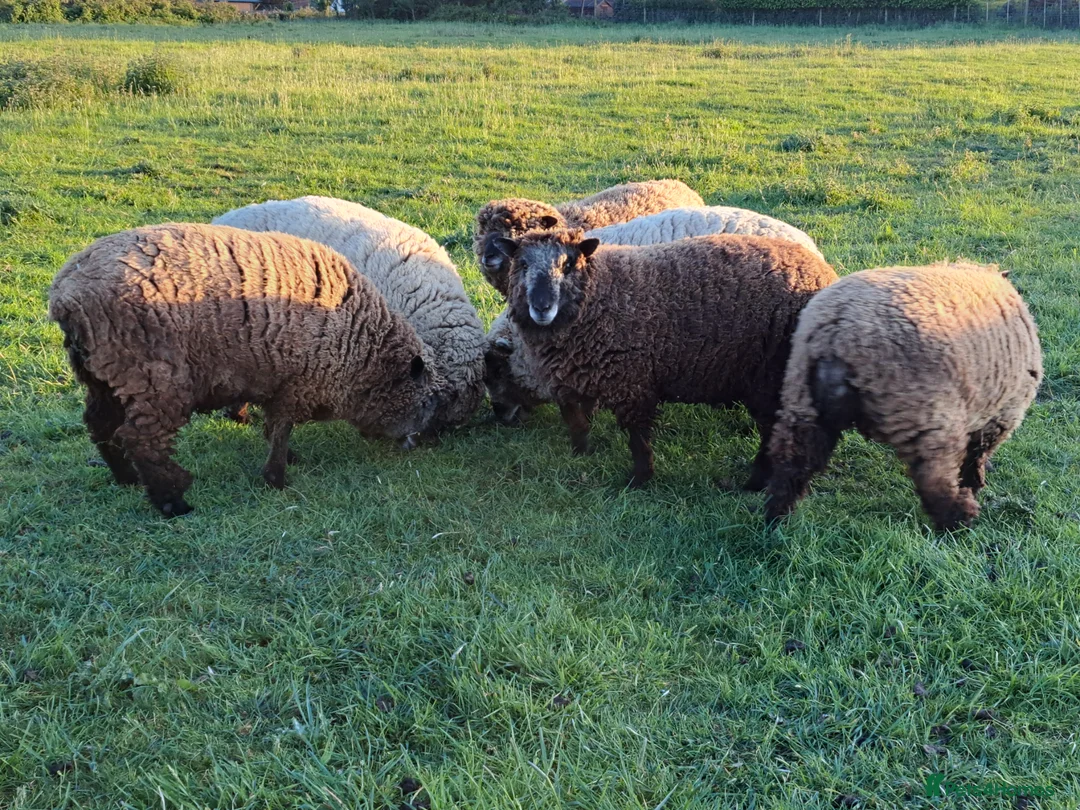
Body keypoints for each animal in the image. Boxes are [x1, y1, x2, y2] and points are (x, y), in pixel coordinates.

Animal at [49, 223, 439, 517]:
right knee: (140, 440)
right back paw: (173, 501)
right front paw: (277, 478)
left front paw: (286, 461)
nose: (415, 442)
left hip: (104, 375)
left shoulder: (279, 381)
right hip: (155, 378)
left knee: (99, 426)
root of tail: (67, 297)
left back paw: (126, 478)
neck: (361, 345)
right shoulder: (297, 383)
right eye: (424, 401)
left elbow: (274, 428)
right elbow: (281, 430)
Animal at [494, 229, 839, 488]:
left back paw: (753, 483)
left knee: (772, 431)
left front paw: (640, 479)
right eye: (521, 264)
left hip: (770, 376)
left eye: (568, 265)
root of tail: (824, 274)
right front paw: (580, 455)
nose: (541, 307)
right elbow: (577, 422)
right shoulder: (572, 377)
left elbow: (637, 438)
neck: (597, 296)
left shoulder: (631, 382)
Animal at [765, 261, 1042, 530]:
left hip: (802, 400)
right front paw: (975, 485)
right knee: (935, 480)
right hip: (929, 418)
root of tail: (839, 333)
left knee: (792, 462)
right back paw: (958, 521)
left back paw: (777, 519)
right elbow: (977, 457)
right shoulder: (1003, 413)